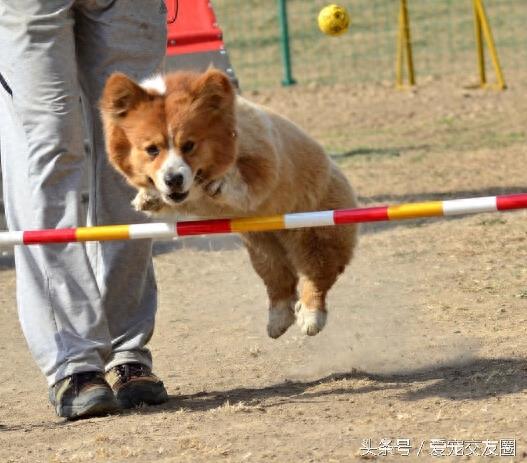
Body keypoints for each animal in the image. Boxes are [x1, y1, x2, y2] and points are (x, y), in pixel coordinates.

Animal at [99, 68, 358, 338]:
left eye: (189, 145)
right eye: (152, 149)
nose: (173, 179)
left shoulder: (263, 162)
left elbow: (243, 180)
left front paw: (220, 184)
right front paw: (146, 196)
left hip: (316, 234)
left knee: (316, 274)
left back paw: (310, 316)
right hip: (262, 248)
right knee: (279, 281)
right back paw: (277, 321)